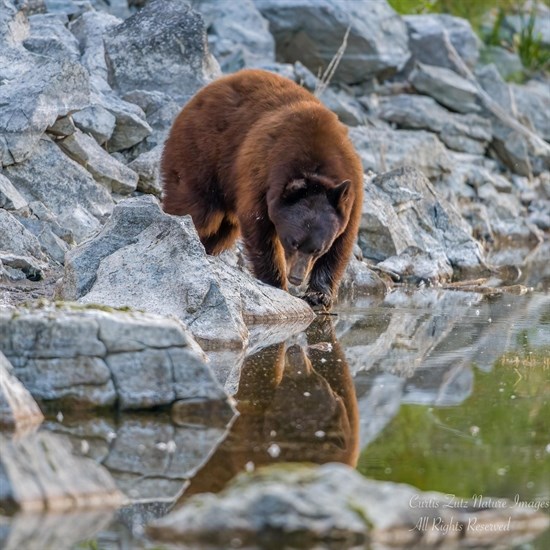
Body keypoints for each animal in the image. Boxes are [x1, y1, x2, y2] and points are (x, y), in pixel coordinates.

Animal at [162, 69, 364, 310]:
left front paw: (319, 295)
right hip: (201, 156)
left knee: (224, 229)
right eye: (292, 242)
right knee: (197, 212)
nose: (296, 278)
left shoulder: (351, 192)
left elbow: (341, 245)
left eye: (318, 249)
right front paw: (277, 284)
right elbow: (260, 232)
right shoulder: (261, 175)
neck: (317, 165)